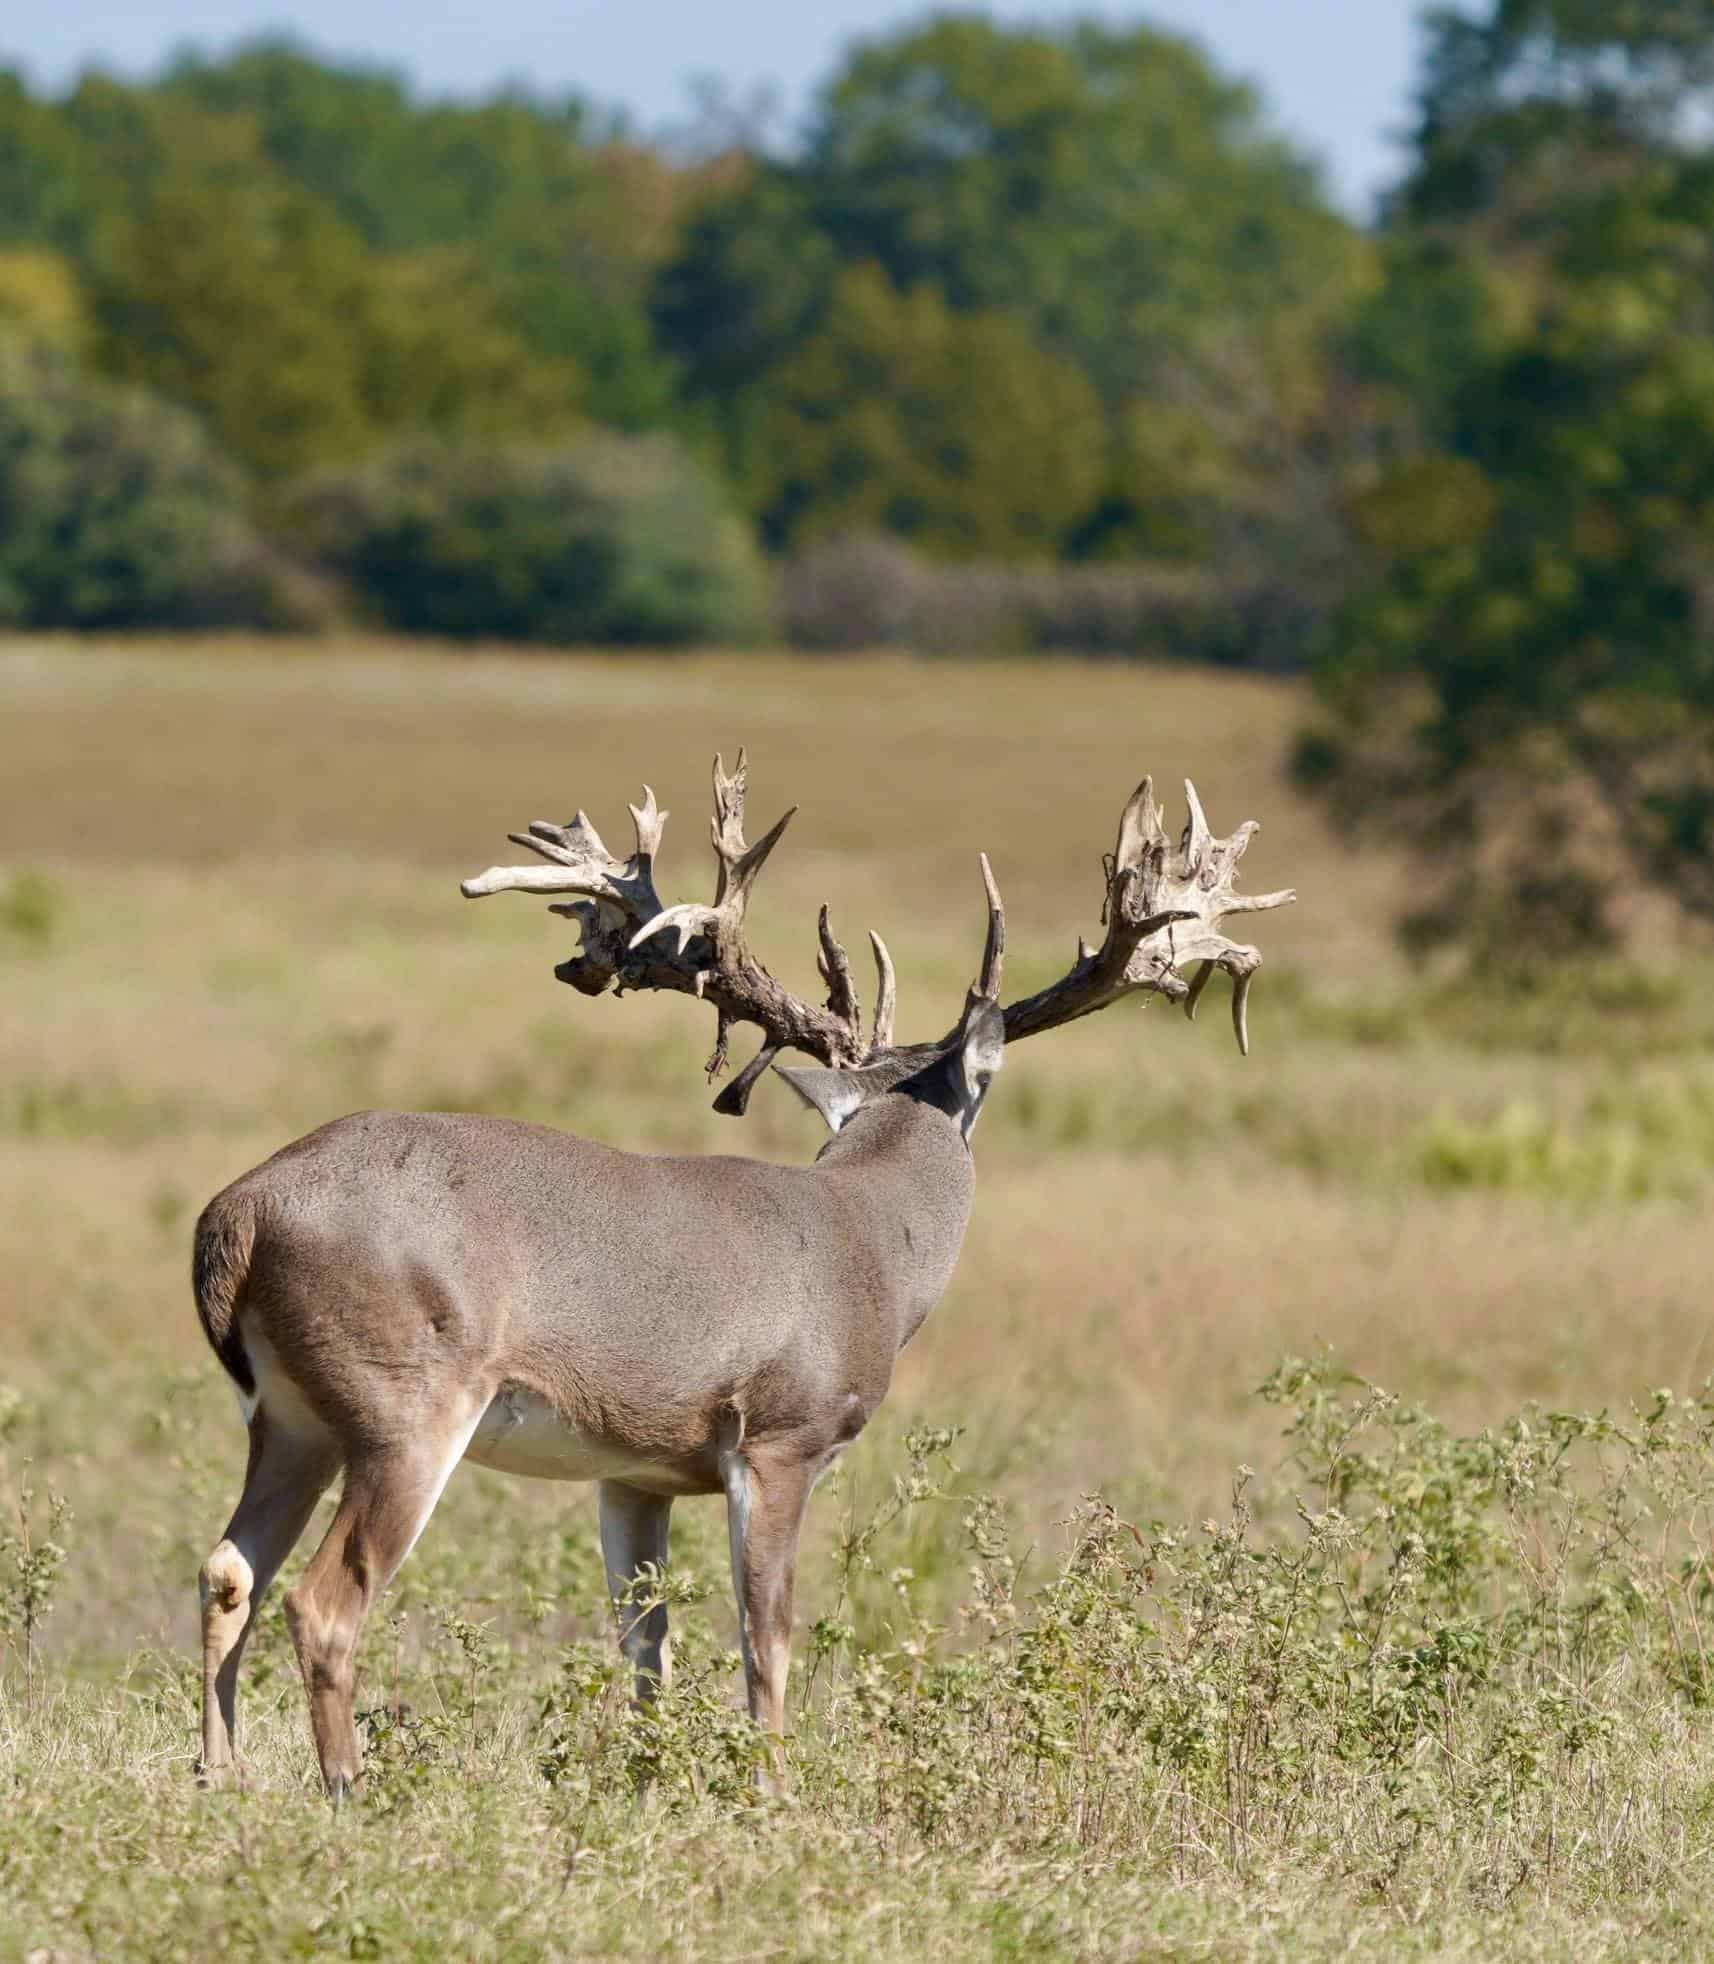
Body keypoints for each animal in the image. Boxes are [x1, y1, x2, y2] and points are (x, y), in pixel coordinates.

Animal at [191, 753, 1292, 1799]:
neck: (869, 1239)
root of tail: (237, 1215)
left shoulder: (634, 1470)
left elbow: (646, 1644)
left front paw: (647, 1788)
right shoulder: (778, 1439)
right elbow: (767, 1634)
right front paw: (772, 1792)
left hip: (291, 1416)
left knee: (227, 1569)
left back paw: (223, 1777)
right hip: (404, 1407)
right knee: (321, 1600)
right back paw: (346, 1788)